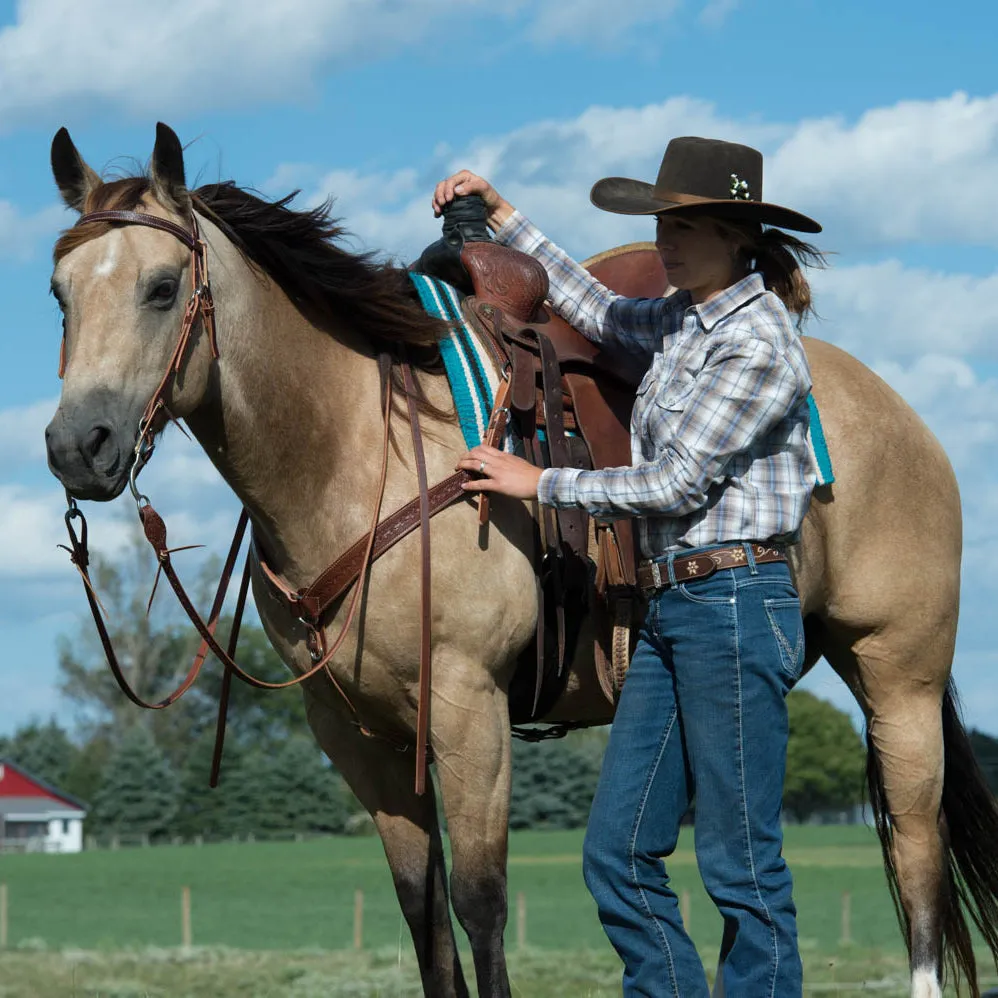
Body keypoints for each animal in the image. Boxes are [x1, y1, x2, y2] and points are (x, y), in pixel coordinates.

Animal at [43, 125, 998, 998]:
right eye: (59, 293)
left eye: (162, 288)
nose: (76, 446)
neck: (360, 452)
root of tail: (897, 411)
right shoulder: (358, 738)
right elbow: (425, 918)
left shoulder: (471, 709)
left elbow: (480, 906)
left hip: (897, 679)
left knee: (915, 862)